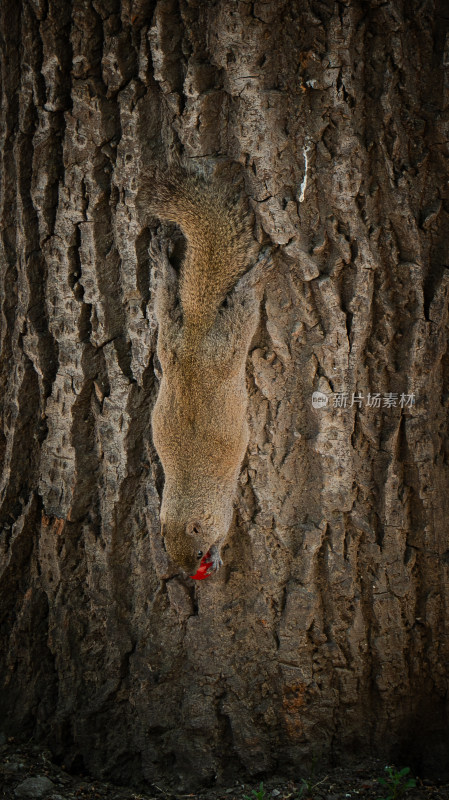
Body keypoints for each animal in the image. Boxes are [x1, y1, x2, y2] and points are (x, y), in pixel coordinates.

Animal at [141, 164, 270, 576]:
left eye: (197, 553)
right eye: (170, 553)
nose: (192, 575)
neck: (188, 496)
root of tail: (197, 334)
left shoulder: (222, 508)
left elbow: (226, 527)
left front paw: (218, 554)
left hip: (226, 346)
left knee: (242, 306)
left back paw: (257, 276)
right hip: (170, 339)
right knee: (168, 296)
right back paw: (162, 261)